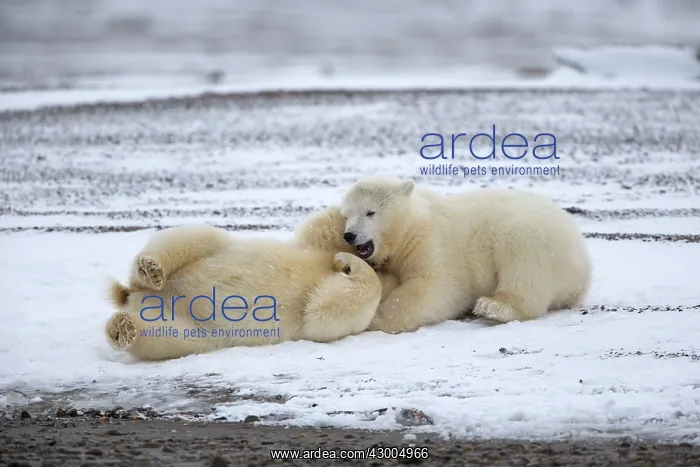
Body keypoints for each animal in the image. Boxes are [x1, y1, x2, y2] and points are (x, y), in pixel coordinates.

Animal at [104, 215, 398, 361]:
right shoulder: (315, 246)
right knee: (191, 238)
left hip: (197, 331)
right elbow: (320, 229)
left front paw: (348, 262)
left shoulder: (353, 319)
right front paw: (345, 255)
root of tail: (136, 297)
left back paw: (123, 328)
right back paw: (151, 270)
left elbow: (322, 316)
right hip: (214, 247)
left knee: (165, 335)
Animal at [328, 174, 592, 333]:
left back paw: (493, 306)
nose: (349, 235)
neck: (410, 227)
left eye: (370, 212)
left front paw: (376, 318)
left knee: (524, 269)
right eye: (346, 215)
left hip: (531, 236)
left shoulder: (431, 243)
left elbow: (436, 287)